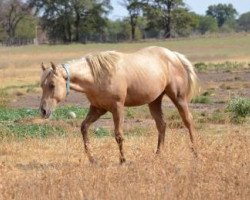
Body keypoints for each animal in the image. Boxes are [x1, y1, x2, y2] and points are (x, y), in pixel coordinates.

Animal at [40, 46, 198, 164]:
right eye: (42, 85)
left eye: (52, 85)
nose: (43, 111)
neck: (97, 76)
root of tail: (173, 55)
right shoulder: (98, 109)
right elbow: (84, 128)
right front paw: (92, 159)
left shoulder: (117, 108)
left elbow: (118, 135)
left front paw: (123, 160)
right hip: (154, 101)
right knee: (162, 125)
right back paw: (158, 154)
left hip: (178, 98)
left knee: (188, 121)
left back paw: (195, 153)